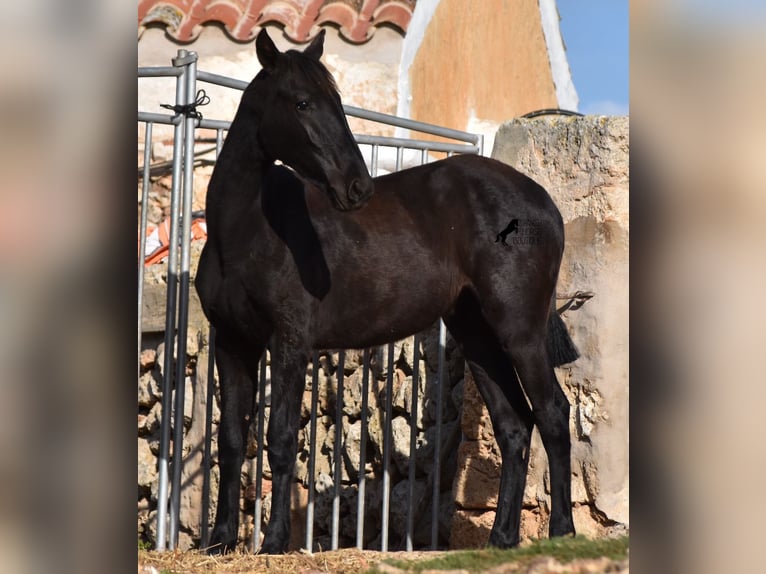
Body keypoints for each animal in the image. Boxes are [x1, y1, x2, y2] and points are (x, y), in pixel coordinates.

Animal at [195, 28, 580, 560]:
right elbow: (231, 438)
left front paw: (272, 543)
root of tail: (544, 202)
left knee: (552, 414)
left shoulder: (289, 344)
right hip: (477, 335)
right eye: (301, 102)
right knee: (514, 425)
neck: (246, 229)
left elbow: (280, 438)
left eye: (336, 101)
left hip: (519, 331)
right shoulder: (234, 343)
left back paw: (562, 532)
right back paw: (501, 539)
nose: (357, 187)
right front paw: (219, 541)